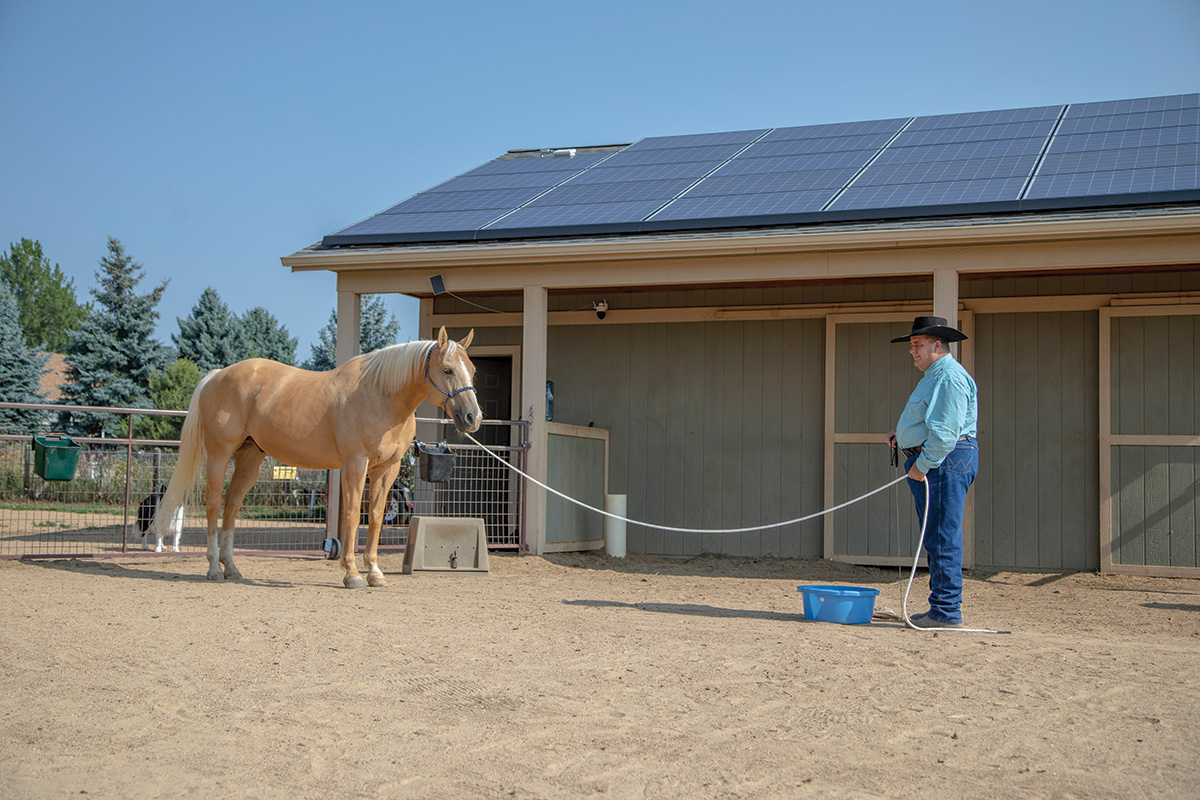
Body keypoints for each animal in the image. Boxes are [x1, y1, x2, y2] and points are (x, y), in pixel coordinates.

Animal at [152, 326, 480, 588]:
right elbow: (352, 515)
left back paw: (232, 569)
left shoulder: (387, 468)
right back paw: (213, 569)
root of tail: (215, 376)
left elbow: (375, 517)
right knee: (213, 505)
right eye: (448, 370)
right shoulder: (355, 463)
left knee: (231, 507)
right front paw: (352, 574)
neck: (380, 396)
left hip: (249, 458)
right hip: (220, 455)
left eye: (472, 370)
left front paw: (374, 572)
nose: (472, 418)